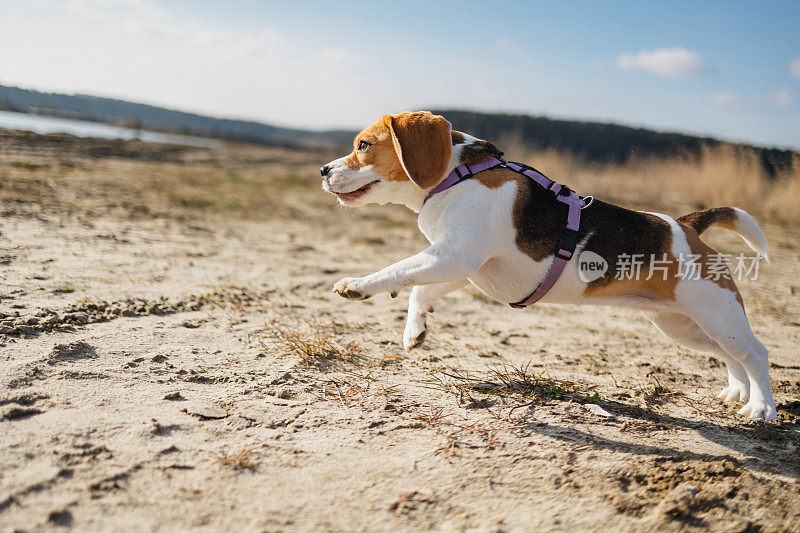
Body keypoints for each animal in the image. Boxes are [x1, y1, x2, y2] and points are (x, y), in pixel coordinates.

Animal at [318, 111, 776, 420]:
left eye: (363, 145)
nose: (322, 169)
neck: (460, 174)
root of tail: (685, 224)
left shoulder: (454, 255)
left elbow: (396, 269)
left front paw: (358, 285)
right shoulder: (461, 264)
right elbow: (418, 287)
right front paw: (415, 330)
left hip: (718, 316)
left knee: (757, 354)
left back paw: (760, 409)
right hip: (685, 326)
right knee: (730, 357)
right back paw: (737, 394)